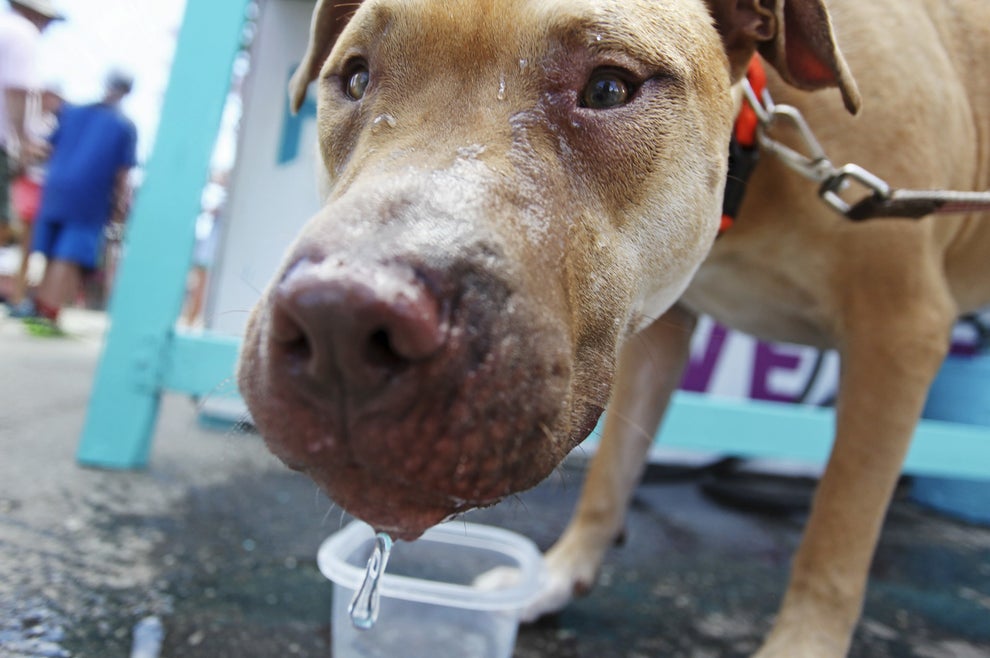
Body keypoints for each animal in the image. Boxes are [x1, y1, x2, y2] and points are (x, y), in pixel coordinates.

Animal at [238, 0, 990, 652]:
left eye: (607, 87)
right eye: (355, 77)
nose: (340, 320)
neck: (759, 145)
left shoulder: (900, 331)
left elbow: (837, 533)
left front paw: (801, 644)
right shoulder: (659, 329)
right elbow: (611, 472)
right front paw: (557, 575)